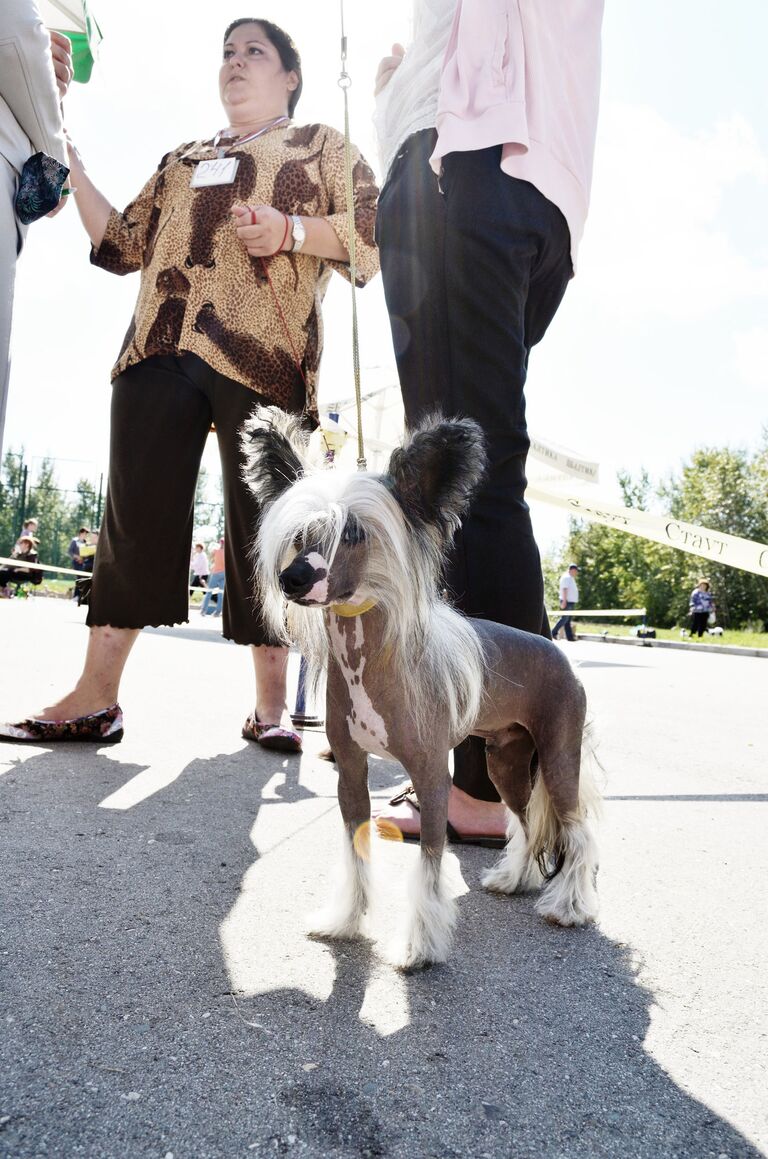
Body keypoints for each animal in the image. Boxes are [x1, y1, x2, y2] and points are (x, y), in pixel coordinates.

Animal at [242, 407, 602, 968]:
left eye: (353, 533)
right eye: (301, 535)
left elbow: (430, 866)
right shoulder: (351, 772)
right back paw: (512, 879)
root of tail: (561, 654)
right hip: (506, 760)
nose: (293, 578)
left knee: (577, 832)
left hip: (560, 754)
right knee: (523, 822)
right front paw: (345, 919)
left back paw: (568, 906)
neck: (366, 663)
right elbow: (356, 850)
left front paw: (419, 945)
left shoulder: (431, 776)